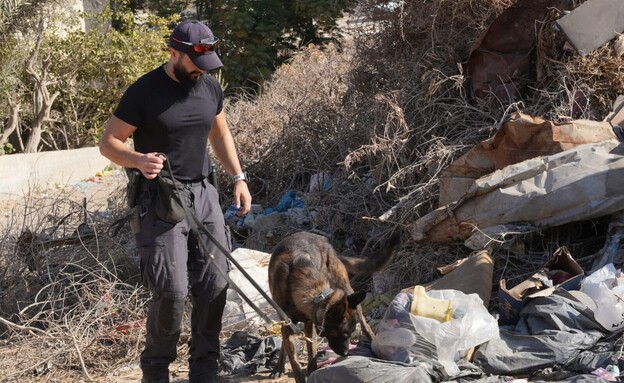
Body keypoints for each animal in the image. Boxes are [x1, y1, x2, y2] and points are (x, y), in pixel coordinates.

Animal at [268, 231, 400, 383]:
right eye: (342, 334)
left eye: (350, 333)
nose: (346, 353)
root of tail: (324, 240)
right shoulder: (289, 322)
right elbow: (295, 363)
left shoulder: (309, 324)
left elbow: (312, 357)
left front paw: (312, 373)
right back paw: (278, 367)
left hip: (347, 290)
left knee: (365, 325)